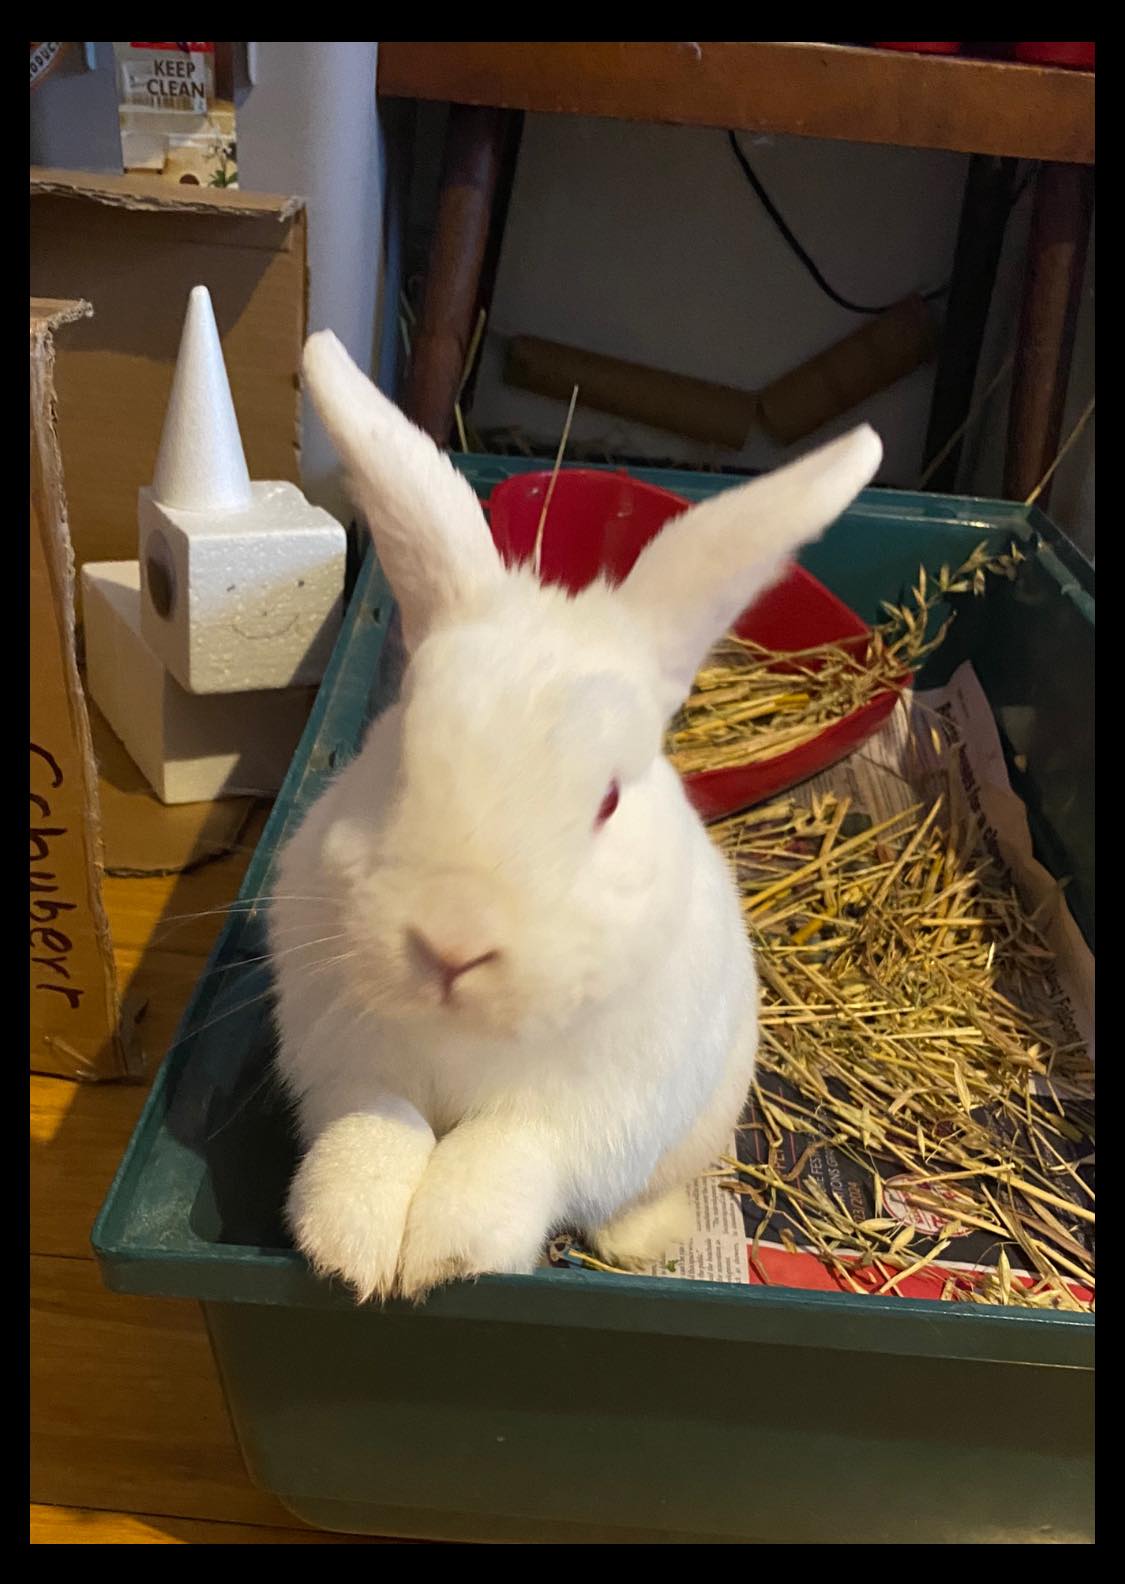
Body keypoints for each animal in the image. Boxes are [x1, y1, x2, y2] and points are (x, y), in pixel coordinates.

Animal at [271, 329, 882, 1303]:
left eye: (606, 800)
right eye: (399, 751)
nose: (452, 945)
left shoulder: (586, 1116)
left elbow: (508, 1157)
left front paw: (444, 1254)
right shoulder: (343, 1062)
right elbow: (372, 1131)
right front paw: (350, 1248)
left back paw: (646, 1242)